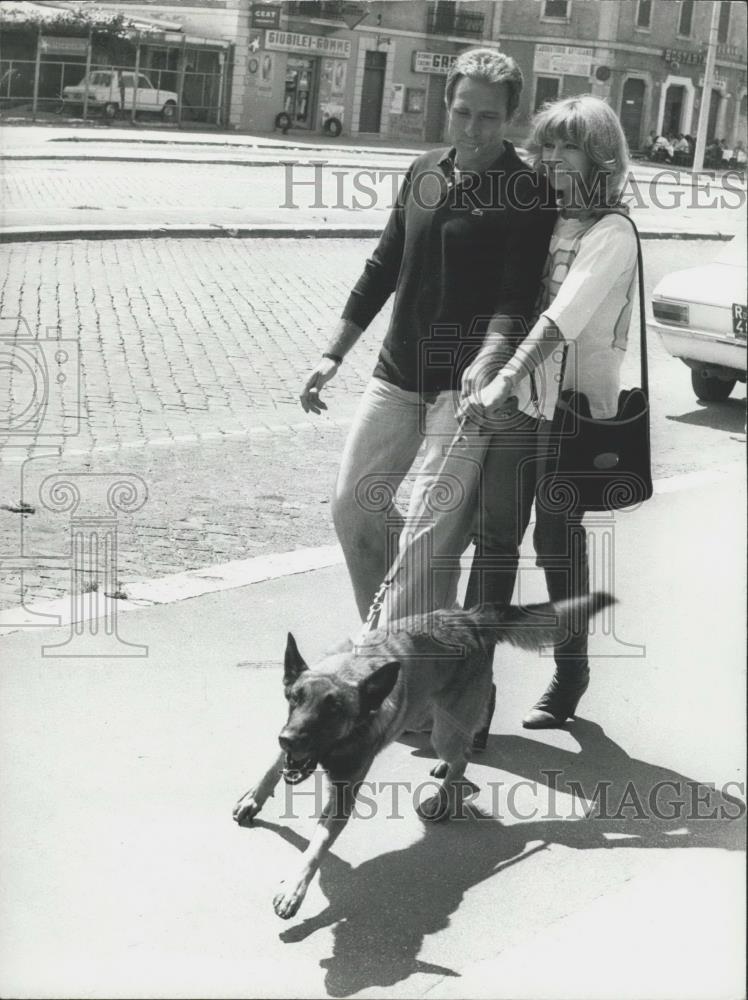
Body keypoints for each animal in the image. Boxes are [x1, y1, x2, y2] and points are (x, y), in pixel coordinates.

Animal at [234, 588, 612, 916]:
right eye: (294, 699)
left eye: (333, 711)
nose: (288, 739)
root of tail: (468, 618)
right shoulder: (289, 746)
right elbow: (270, 770)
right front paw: (254, 798)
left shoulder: (341, 797)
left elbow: (316, 848)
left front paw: (294, 888)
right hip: (427, 711)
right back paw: (446, 771)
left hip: (443, 729)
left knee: (462, 756)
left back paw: (445, 797)